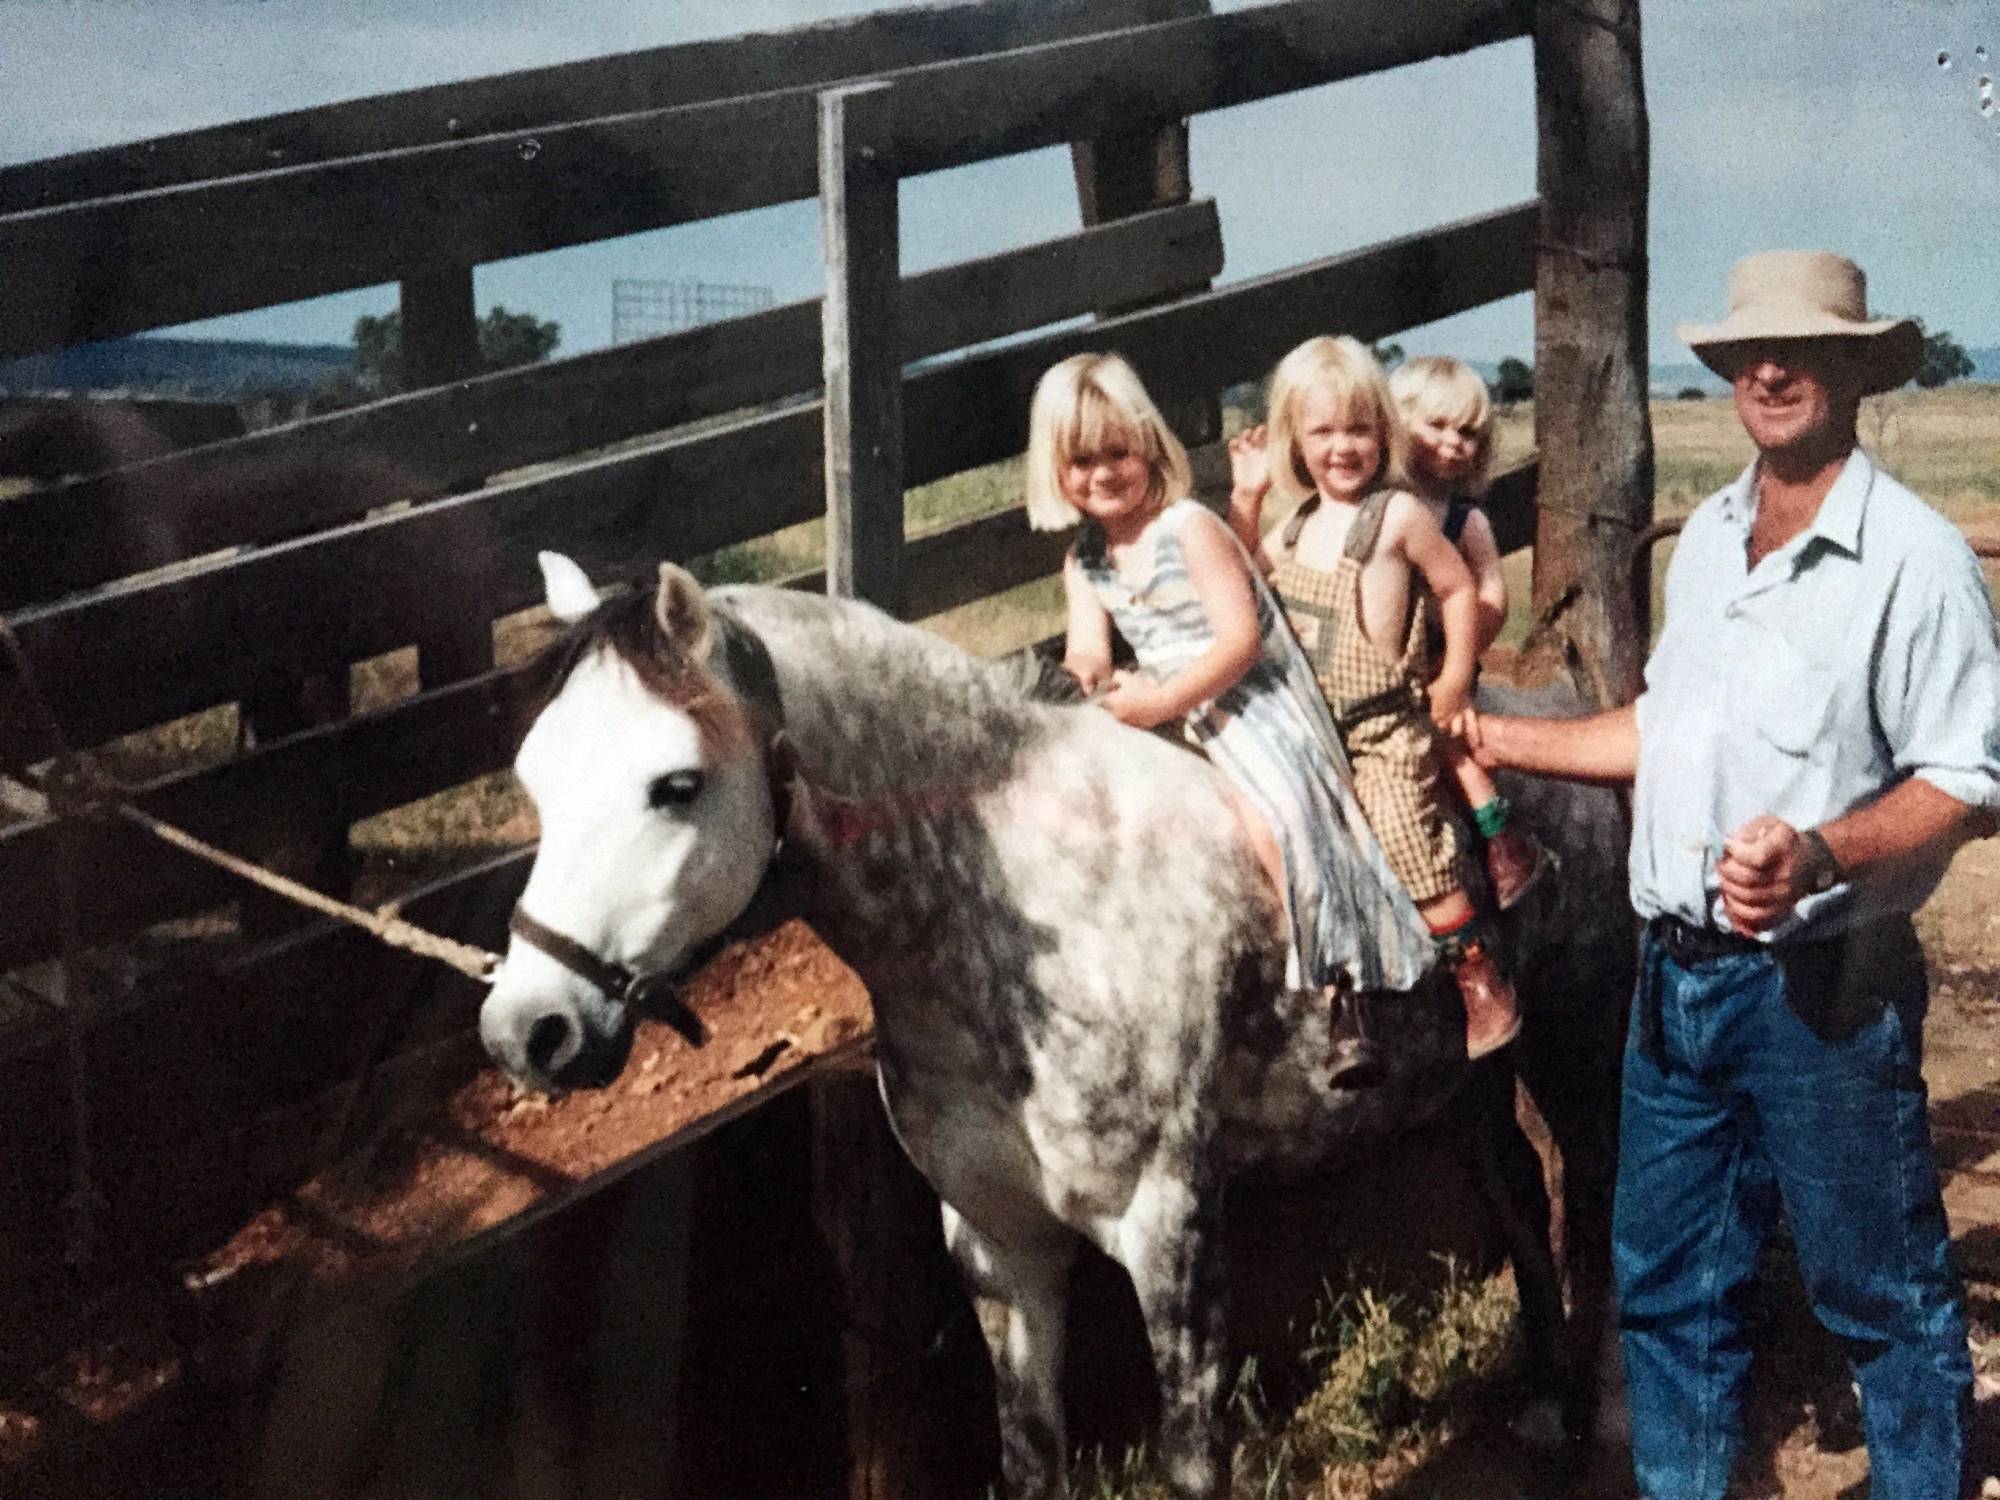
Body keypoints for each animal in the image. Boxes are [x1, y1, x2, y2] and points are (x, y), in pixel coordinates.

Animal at [478, 551, 1634, 1500]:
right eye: (535, 775)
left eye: (673, 784)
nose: (526, 1029)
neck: (1019, 912)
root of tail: (1550, 706)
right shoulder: (1000, 1246)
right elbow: (1030, 1455)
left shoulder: (1170, 1229)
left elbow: (1192, 1462)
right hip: (1467, 1076)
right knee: (1518, 1190)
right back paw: (1541, 1401)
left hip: (1578, 1046)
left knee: (1592, 1207)